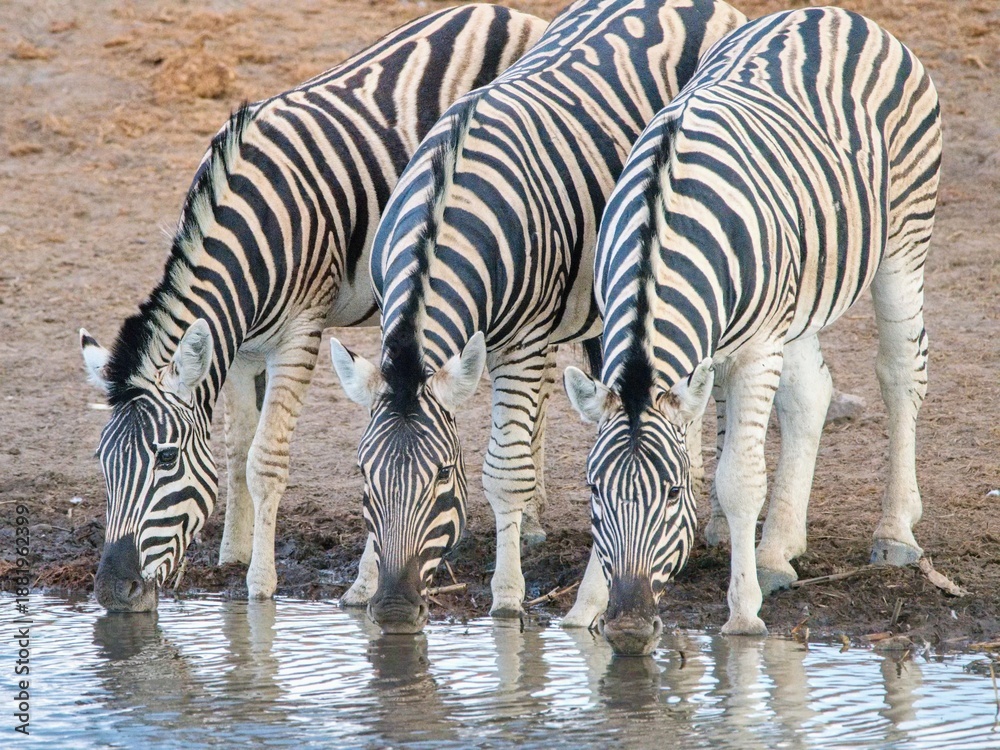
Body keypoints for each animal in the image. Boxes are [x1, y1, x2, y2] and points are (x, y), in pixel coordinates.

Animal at [77, 5, 547, 612]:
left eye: (165, 459)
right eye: (102, 462)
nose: (113, 590)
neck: (251, 225)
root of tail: (507, 12)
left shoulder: (300, 331)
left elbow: (265, 459)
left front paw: (259, 583)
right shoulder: (238, 343)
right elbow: (235, 449)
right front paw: (232, 553)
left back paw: (531, 518)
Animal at [329, 0, 747, 633]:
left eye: (443, 477)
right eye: (362, 478)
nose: (397, 613)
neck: (447, 206)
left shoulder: (523, 341)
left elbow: (505, 472)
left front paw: (506, 598)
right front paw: (360, 582)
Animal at [563, 6, 941, 654]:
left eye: (670, 495)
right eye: (594, 493)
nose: (631, 628)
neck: (661, 230)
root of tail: (833, 13)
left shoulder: (757, 347)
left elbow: (737, 478)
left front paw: (743, 615)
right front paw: (584, 609)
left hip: (903, 241)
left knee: (901, 374)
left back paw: (894, 532)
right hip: (802, 287)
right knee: (811, 394)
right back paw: (776, 552)